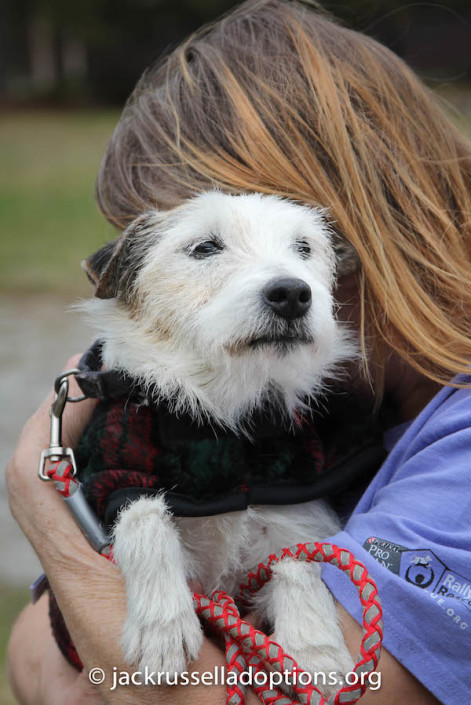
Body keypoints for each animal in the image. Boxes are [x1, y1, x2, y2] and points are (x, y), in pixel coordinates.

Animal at [82, 190, 358, 692]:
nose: (292, 293)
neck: (223, 418)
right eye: (205, 247)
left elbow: (298, 557)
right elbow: (144, 517)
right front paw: (162, 627)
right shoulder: (115, 480)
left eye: (304, 248)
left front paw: (315, 650)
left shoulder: (291, 494)